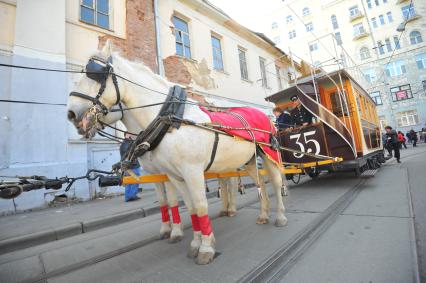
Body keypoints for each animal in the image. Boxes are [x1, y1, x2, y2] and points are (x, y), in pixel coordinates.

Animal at [67, 44, 286, 266]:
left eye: (95, 74)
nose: (71, 113)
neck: (171, 121)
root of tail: (264, 115)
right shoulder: (171, 175)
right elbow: (186, 206)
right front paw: (194, 242)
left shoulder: (192, 171)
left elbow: (199, 205)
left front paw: (204, 247)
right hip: (248, 161)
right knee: (260, 185)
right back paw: (262, 215)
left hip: (270, 155)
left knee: (276, 183)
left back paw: (279, 217)